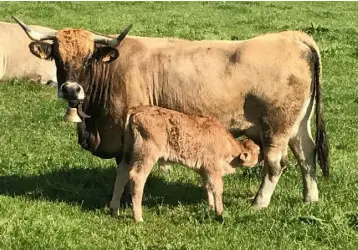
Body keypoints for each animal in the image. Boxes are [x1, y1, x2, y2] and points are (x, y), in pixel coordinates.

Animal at [12, 16, 328, 209]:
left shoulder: (128, 130)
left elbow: (126, 166)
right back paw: (310, 198)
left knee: (276, 164)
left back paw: (259, 203)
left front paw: (125, 200)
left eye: (89, 58)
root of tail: (293, 37)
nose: (70, 89)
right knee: (307, 155)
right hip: (297, 125)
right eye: (57, 56)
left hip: (276, 127)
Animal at [109, 105, 260, 221]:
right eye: (258, 151)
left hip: (129, 154)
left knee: (122, 174)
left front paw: (210, 206)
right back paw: (138, 218)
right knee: (137, 178)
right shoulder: (213, 170)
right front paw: (220, 212)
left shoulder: (204, 171)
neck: (226, 143)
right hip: (146, 155)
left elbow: (207, 187)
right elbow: (217, 189)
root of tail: (136, 111)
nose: (260, 158)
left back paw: (114, 210)